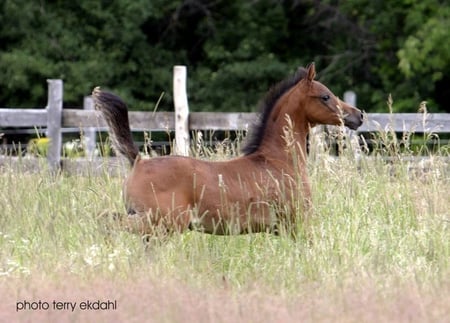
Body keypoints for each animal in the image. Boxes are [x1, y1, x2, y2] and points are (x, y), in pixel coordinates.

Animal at [93, 64, 364, 240]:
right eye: (325, 96)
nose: (358, 115)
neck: (278, 161)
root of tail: (138, 161)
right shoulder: (296, 222)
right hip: (159, 222)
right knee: (108, 223)